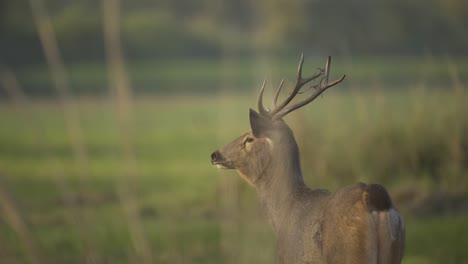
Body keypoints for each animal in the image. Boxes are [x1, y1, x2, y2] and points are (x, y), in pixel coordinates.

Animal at [210, 54, 404, 264]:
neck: (283, 213)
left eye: (249, 138)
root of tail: (376, 197)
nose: (215, 154)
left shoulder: (288, 258)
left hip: (348, 255)